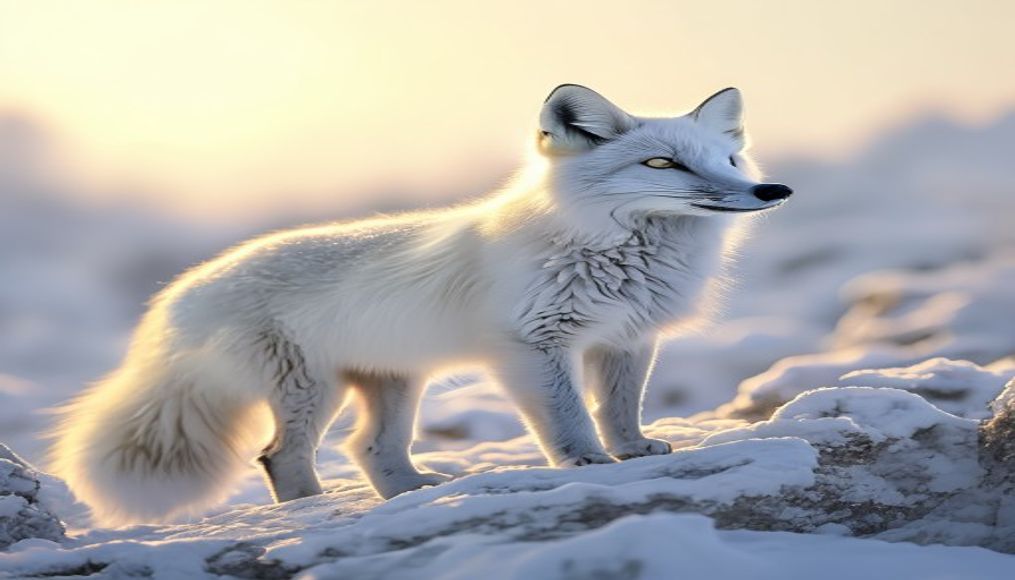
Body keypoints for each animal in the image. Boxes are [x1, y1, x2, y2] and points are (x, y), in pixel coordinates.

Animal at [50, 84, 792, 525]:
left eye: (729, 159)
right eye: (662, 164)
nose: (771, 191)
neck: (611, 253)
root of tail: (176, 296)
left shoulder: (627, 339)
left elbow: (617, 407)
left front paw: (632, 450)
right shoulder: (532, 347)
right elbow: (569, 417)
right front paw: (586, 465)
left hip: (392, 383)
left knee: (370, 448)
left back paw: (411, 492)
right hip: (309, 390)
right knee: (279, 457)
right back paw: (312, 512)